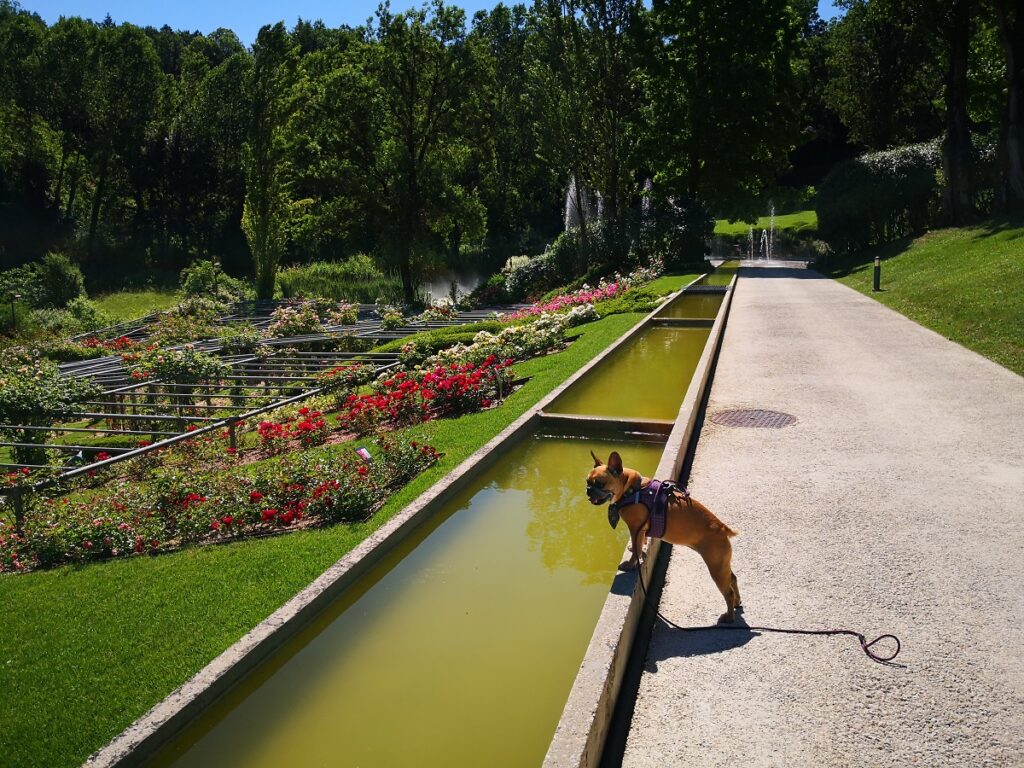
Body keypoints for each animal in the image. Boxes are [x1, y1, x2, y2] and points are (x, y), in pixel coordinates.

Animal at [585, 450, 745, 626]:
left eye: (600, 484)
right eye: (587, 481)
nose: (588, 490)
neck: (632, 490)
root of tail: (723, 528)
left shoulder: (636, 529)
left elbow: (636, 548)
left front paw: (631, 564)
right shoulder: (641, 530)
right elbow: (639, 544)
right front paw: (638, 550)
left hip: (716, 567)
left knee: (728, 592)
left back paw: (729, 616)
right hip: (722, 564)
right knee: (733, 579)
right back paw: (737, 602)